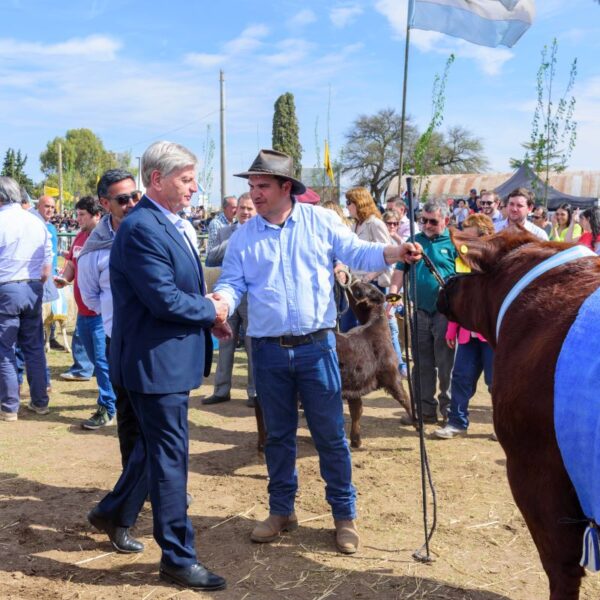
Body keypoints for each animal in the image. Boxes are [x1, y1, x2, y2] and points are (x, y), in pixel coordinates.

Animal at [255, 280, 414, 450]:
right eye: (360, 289)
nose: (354, 279)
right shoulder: (392, 375)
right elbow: (405, 399)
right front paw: (417, 423)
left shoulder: (355, 382)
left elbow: (357, 409)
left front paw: (356, 440)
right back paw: (264, 443)